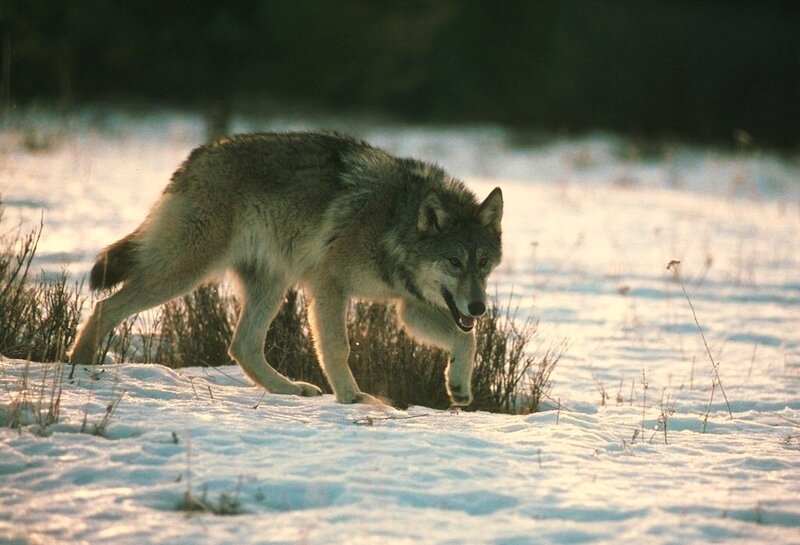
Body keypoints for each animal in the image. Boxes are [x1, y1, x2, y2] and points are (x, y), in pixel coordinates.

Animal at [68, 132, 503, 406]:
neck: (393, 220)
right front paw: (351, 398)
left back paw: (289, 389)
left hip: (270, 285)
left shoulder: (409, 308)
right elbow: (338, 347)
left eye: (483, 263)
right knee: (106, 307)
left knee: (241, 345)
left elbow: (467, 339)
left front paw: (459, 387)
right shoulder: (329, 284)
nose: (479, 307)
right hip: (185, 272)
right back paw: (79, 365)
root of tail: (198, 155)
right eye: (454, 262)